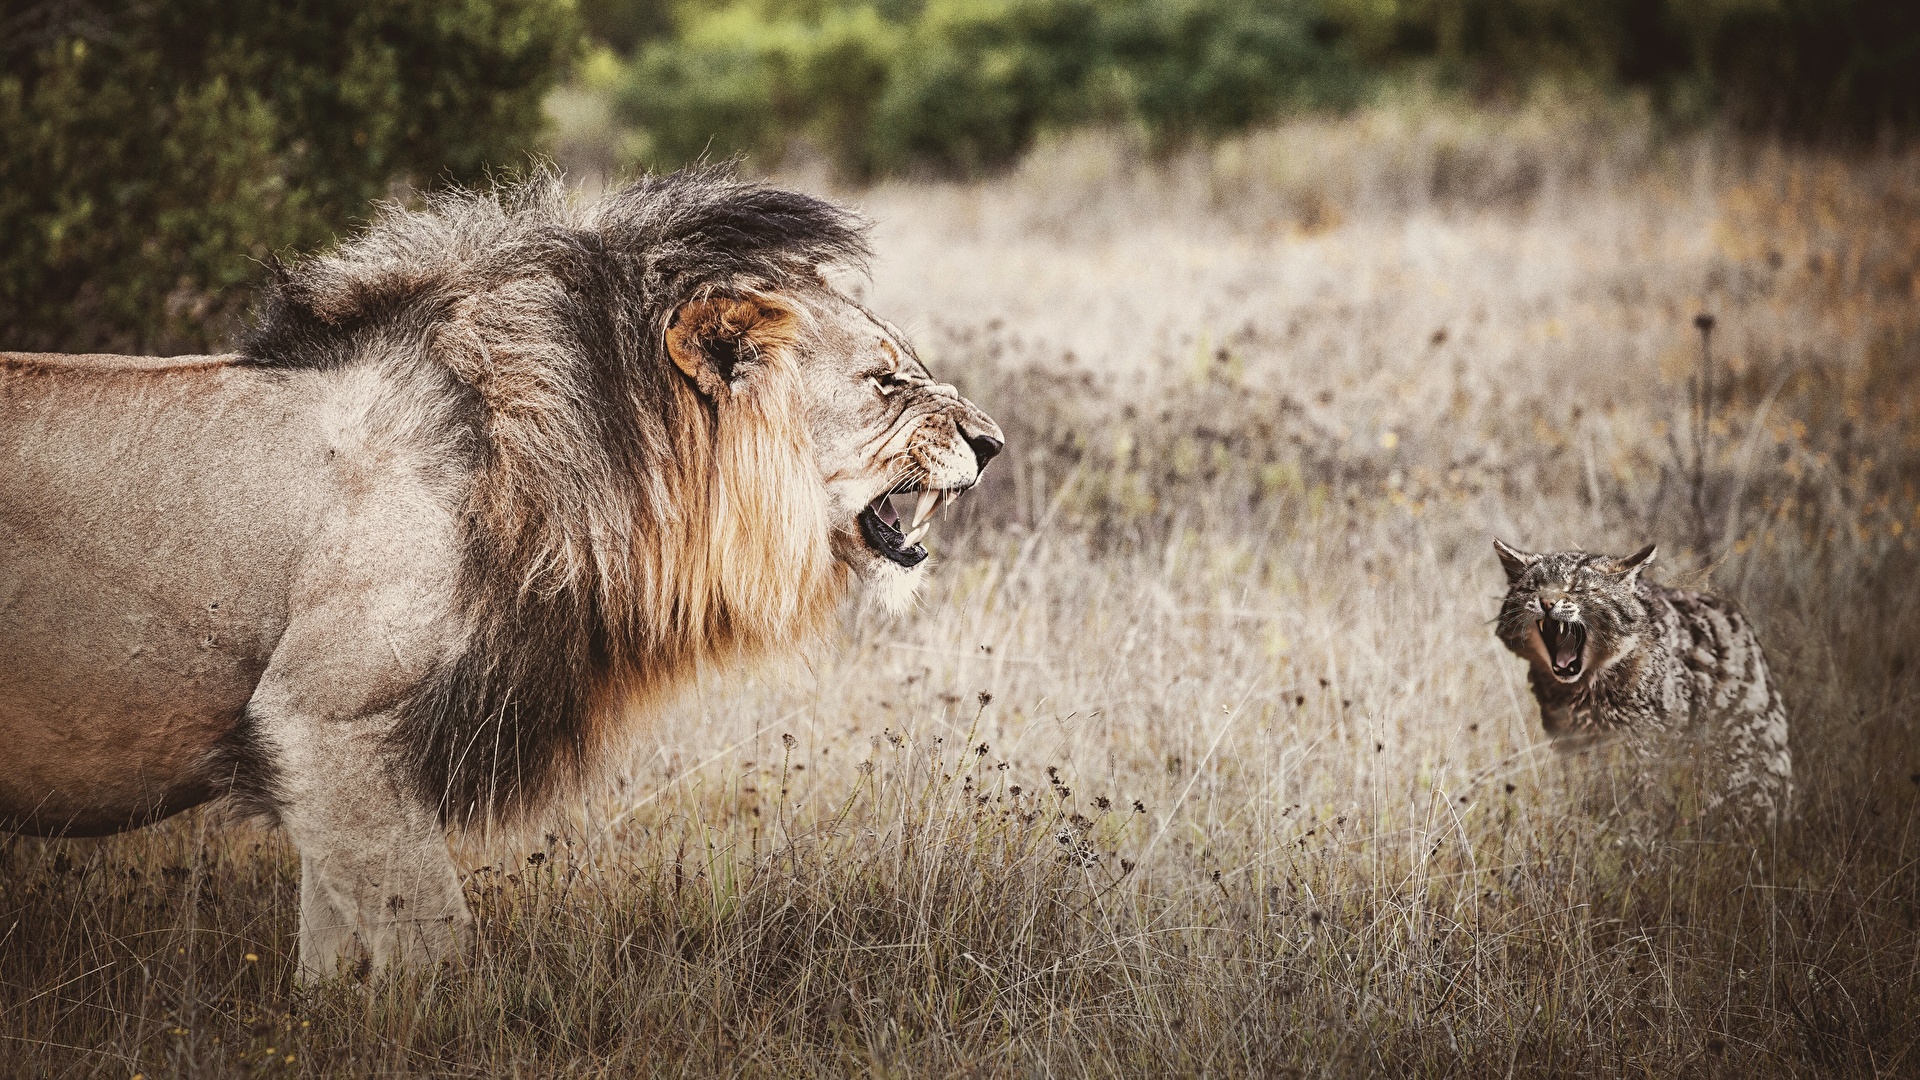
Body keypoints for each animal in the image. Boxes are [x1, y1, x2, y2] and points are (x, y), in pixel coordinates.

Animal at [0, 167, 1002, 979]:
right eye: (885, 382)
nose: (992, 443)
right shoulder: (323, 717)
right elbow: (430, 938)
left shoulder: (333, 756)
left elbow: (335, 951)